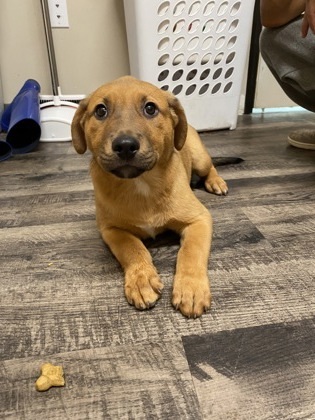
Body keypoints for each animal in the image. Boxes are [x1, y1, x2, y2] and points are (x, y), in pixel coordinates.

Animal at [72, 76, 227, 318]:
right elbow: (132, 248)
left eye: (150, 108)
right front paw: (141, 279)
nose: (125, 146)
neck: (141, 184)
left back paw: (216, 182)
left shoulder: (199, 219)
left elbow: (191, 252)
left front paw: (191, 288)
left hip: (200, 157)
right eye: (100, 111)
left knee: (210, 167)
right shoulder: (111, 229)